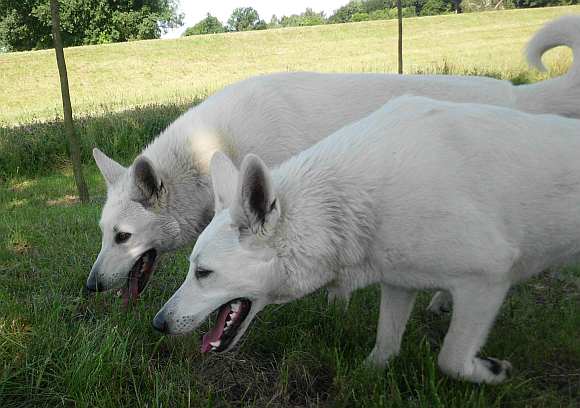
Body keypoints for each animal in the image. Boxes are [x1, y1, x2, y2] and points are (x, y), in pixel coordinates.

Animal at [153, 95, 580, 382]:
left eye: (204, 273)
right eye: (191, 268)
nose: (158, 323)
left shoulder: (486, 281)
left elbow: (451, 359)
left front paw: (492, 370)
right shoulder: (399, 284)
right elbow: (384, 348)